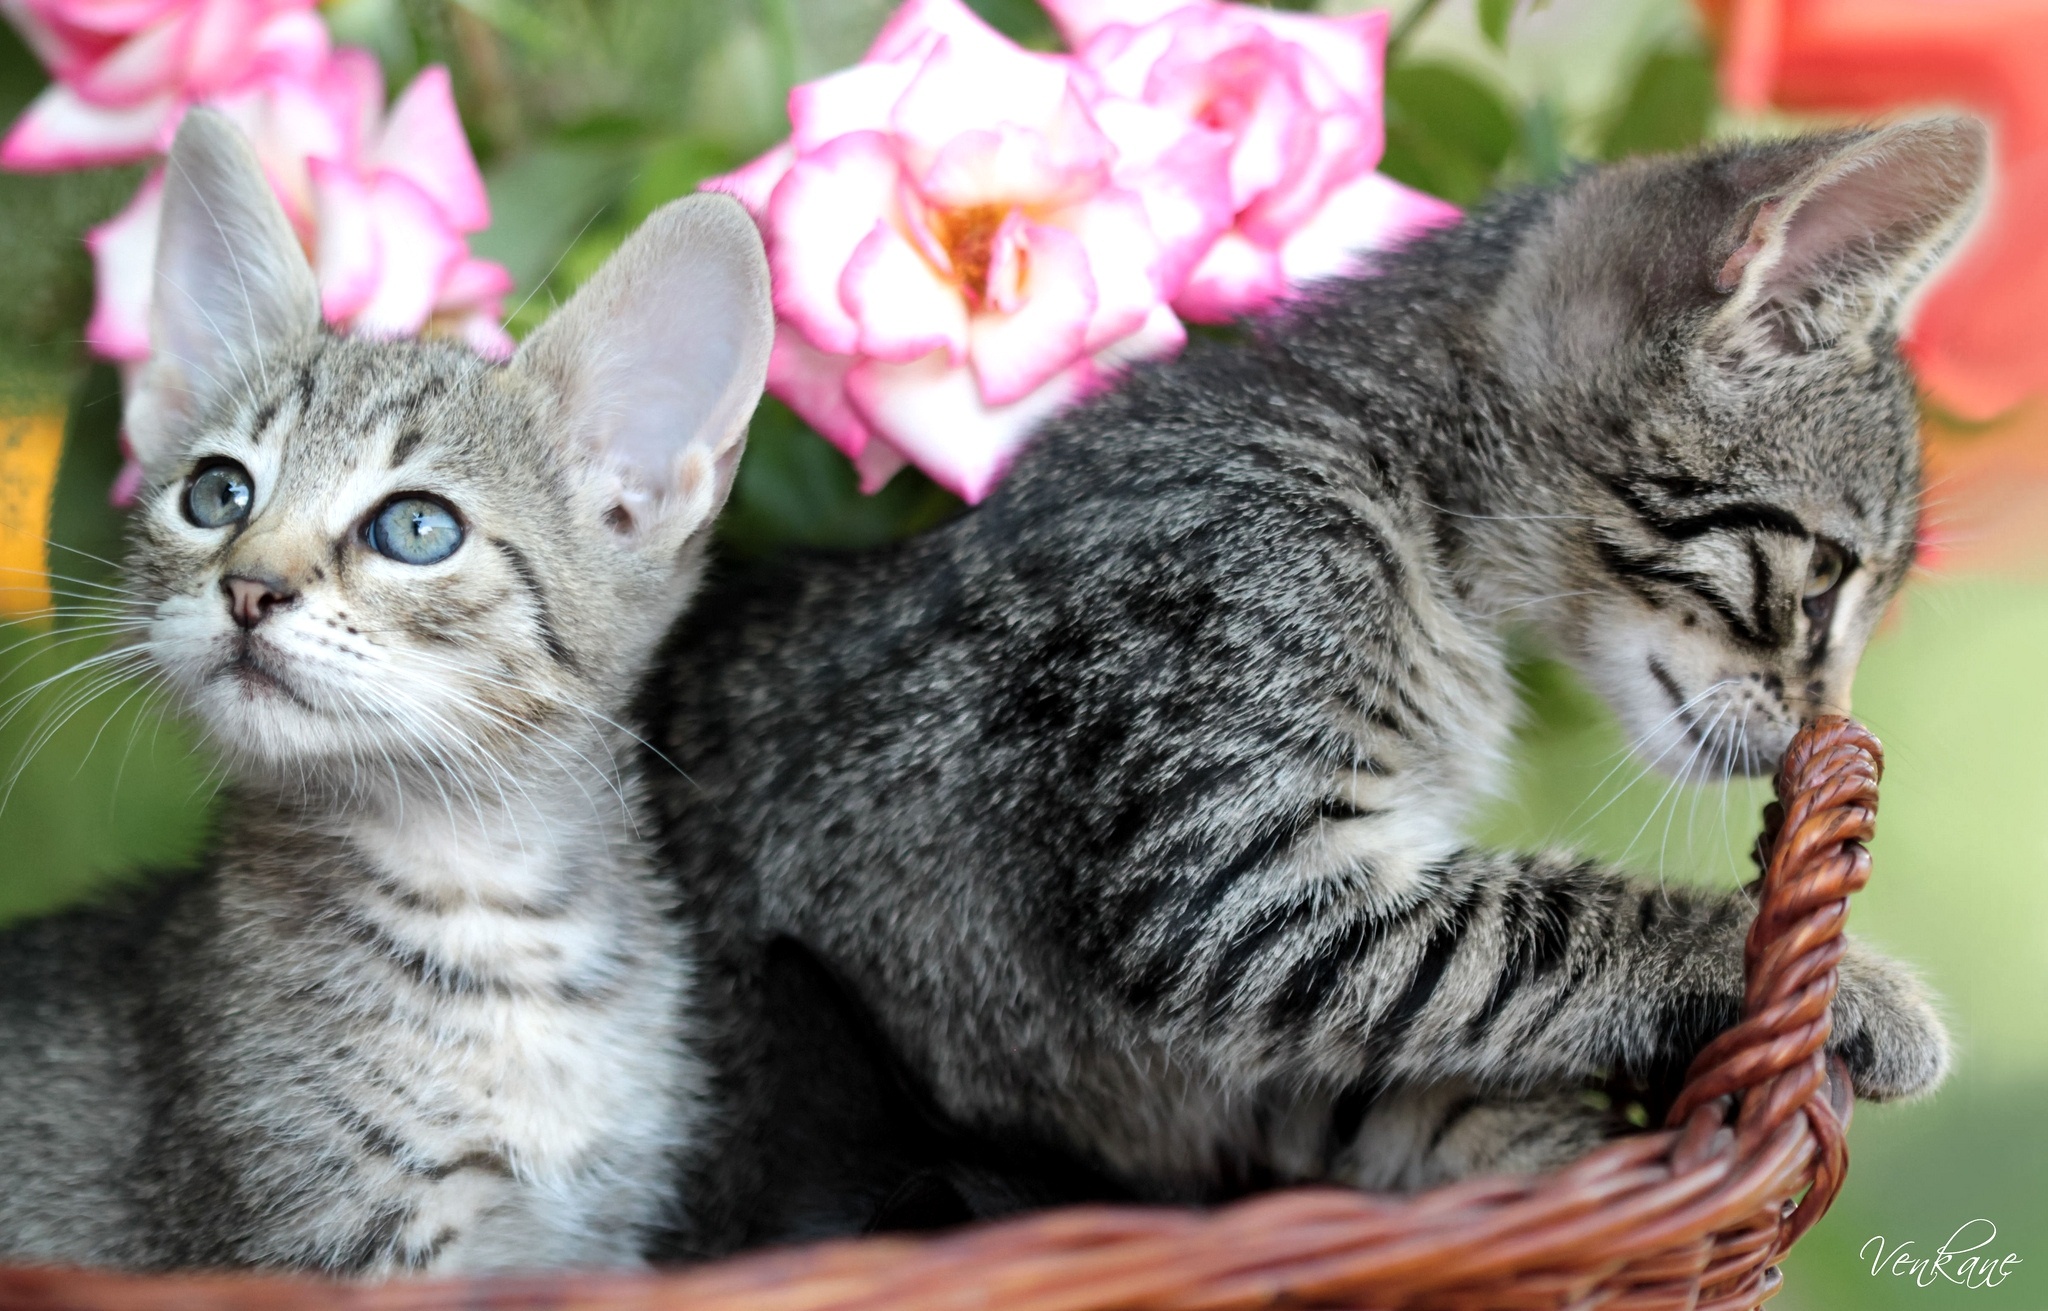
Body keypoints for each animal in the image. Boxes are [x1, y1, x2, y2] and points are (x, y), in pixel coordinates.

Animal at [651, 112, 1982, 1237]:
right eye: (1821, 581)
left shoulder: (1277, 1031)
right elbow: (1538, 932)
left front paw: (1566, 1163)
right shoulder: (1234, 880)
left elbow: (1402, 1080)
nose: (1821, 720)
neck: (1391, 476)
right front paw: (1853, 989)